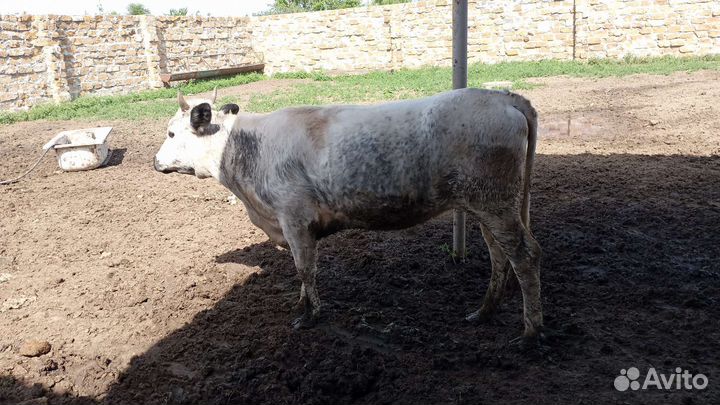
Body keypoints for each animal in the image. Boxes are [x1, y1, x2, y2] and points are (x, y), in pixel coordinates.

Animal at [154, 88, 543, 342]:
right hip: (488, 206)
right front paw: (301, 304)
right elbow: (302, 271)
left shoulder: (294, 218)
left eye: (172, 132)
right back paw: (485, 310)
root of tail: (502, 96)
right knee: (498, 255)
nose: (155, 161)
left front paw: (311, 315)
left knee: (525, 255)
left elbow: (305, 269)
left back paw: (530, 332)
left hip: (496, 204)